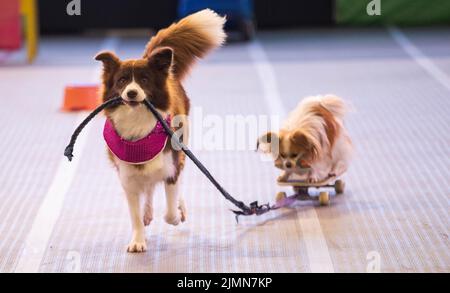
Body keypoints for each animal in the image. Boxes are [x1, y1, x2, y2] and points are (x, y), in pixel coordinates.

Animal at [96, 9, 227, 251]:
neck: (139, 126)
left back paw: (178, 207)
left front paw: (175, 214)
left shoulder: (171, 166)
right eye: (122, 80)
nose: (131, 93)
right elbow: (135, 215)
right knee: (148, 188)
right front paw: (138, 240)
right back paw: (148, 212)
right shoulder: (128, 177)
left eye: (144, 80)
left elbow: (170, 209)